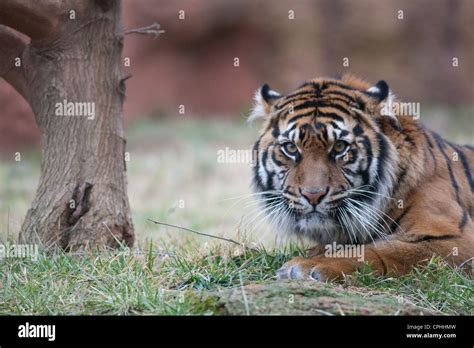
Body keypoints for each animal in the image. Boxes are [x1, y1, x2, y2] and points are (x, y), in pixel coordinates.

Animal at [250, 74, 472, 282]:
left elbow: (377, 251)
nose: (313, 195)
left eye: (340, 147)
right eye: (290, 148)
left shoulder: (456, 238)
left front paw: (309, 265)